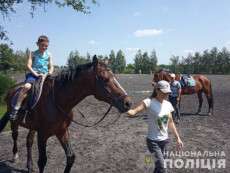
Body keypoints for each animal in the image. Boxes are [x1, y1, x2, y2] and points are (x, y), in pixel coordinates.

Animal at [0, 55, 131, 173]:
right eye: (104, 78)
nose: (128, 103)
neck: (57, 101)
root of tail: (12, 90)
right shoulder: (42, 135)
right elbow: (42, 161)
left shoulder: (62, 131)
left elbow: (70, 157)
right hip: (14, 122)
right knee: (15, 136)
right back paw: (15, 156)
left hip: (32, 127)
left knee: (29, 142)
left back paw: (29, 166)